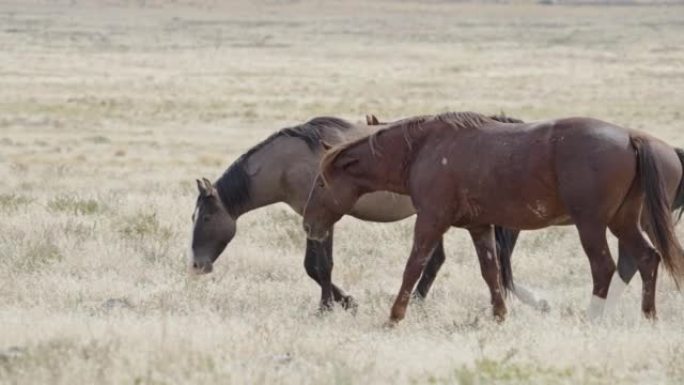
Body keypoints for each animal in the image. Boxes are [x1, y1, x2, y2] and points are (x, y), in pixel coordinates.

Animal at [304, 112, 684, 324]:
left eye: (321, 182)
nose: (308, 224)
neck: (423, 149)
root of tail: (632, 137)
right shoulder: (479, 227)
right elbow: (491, 272)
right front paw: (500, 316)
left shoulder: (431, 221)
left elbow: (413, 267)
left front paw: (394, 317)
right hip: (623, 222)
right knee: (647, 259)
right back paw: (648, 317)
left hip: (591, 225)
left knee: (605, 268)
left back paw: (593, 319)